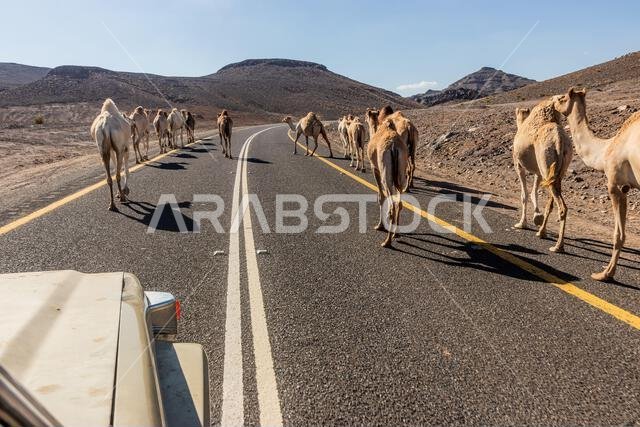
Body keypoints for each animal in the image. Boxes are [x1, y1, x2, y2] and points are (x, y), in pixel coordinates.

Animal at [367, 119, 409, 247]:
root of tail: (394, 147)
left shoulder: (375, 169)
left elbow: (380, 197)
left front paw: (379, 226)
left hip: (386, 174)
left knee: (392, 206)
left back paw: (387, 242)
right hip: (401, 174)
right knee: (399, 203)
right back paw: (396, 233)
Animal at [512, 98, 573, 253]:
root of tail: (559, 140)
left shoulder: (518, 165)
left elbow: (524, 194)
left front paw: (522, 223)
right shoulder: (538, 172)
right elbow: (534, 192)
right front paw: (536, 217)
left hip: (545, 163)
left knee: (562, 207)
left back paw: (558, 246)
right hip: (555, 171)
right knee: (552, 201)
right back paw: (542, 232)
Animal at [554, 87, 640, 281]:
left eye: (562, 98)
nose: (552, 101)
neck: (605, 149)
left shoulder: (614, 186)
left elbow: (618, 234)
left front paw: (605, 274)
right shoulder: (626, 188)